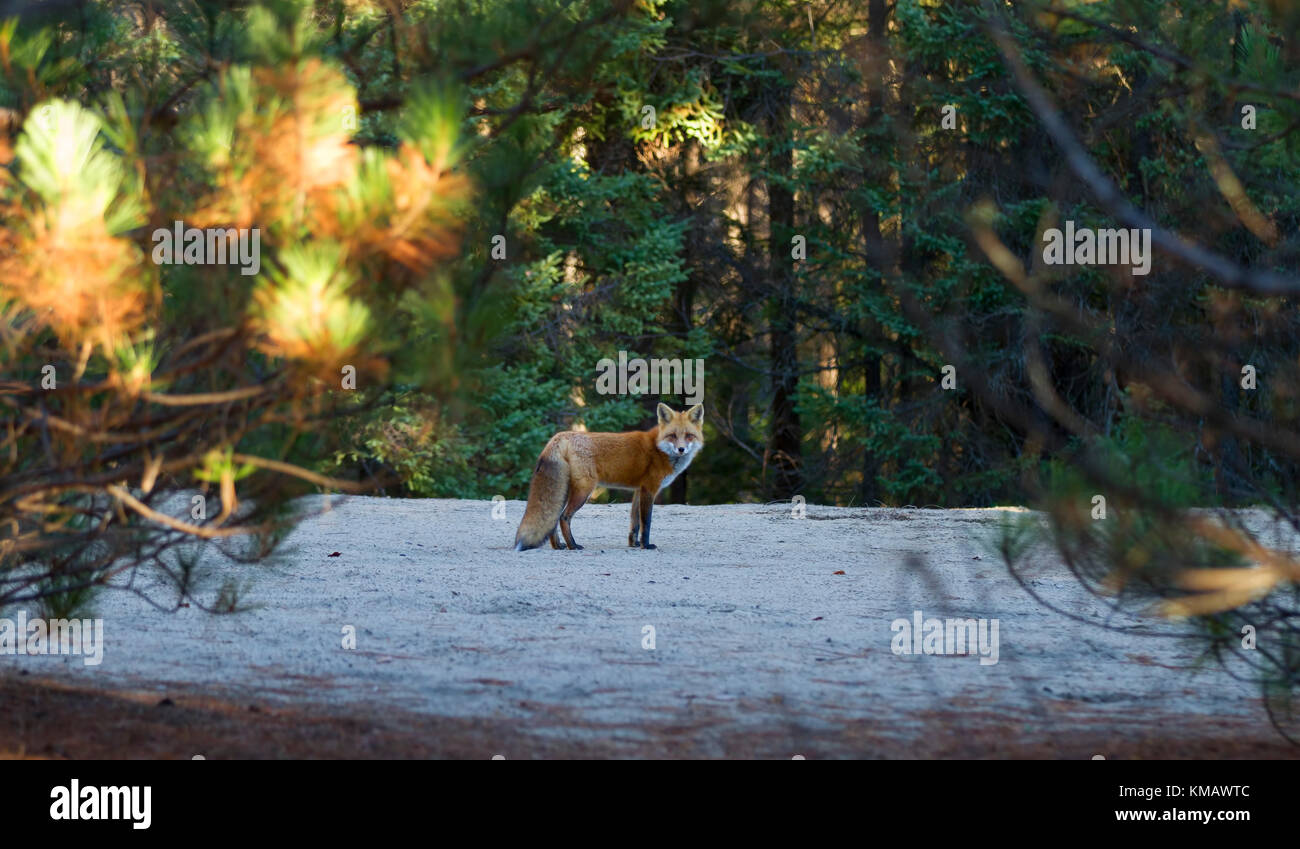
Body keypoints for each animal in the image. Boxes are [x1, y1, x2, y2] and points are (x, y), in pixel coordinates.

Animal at [513, 402, 704, 551]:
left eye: (689, 436)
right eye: (672, 436)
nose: (681, 449)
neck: (659, 449)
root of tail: (560, 436)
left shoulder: (638, 490)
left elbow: (634, 523)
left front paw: (633, 544)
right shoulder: (649, 490)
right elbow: (646, 523)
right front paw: (646, 545)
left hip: (565, 490)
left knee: (553, 519)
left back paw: (558, 546)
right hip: (584, 490)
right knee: (563, 517)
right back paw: (572, 545)